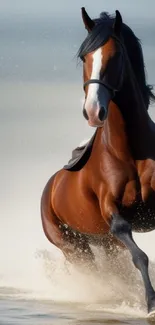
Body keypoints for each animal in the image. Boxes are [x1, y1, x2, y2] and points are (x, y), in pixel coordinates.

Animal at [40, 7, 155, 316]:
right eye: (84, 57)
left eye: (115, 56)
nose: (93, 111)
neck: (129, 151)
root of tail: (50, 187)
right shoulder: (113, 213)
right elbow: (140, 256)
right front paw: (150, 303)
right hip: (74, 247)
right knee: (97, 273)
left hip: (104, 243)